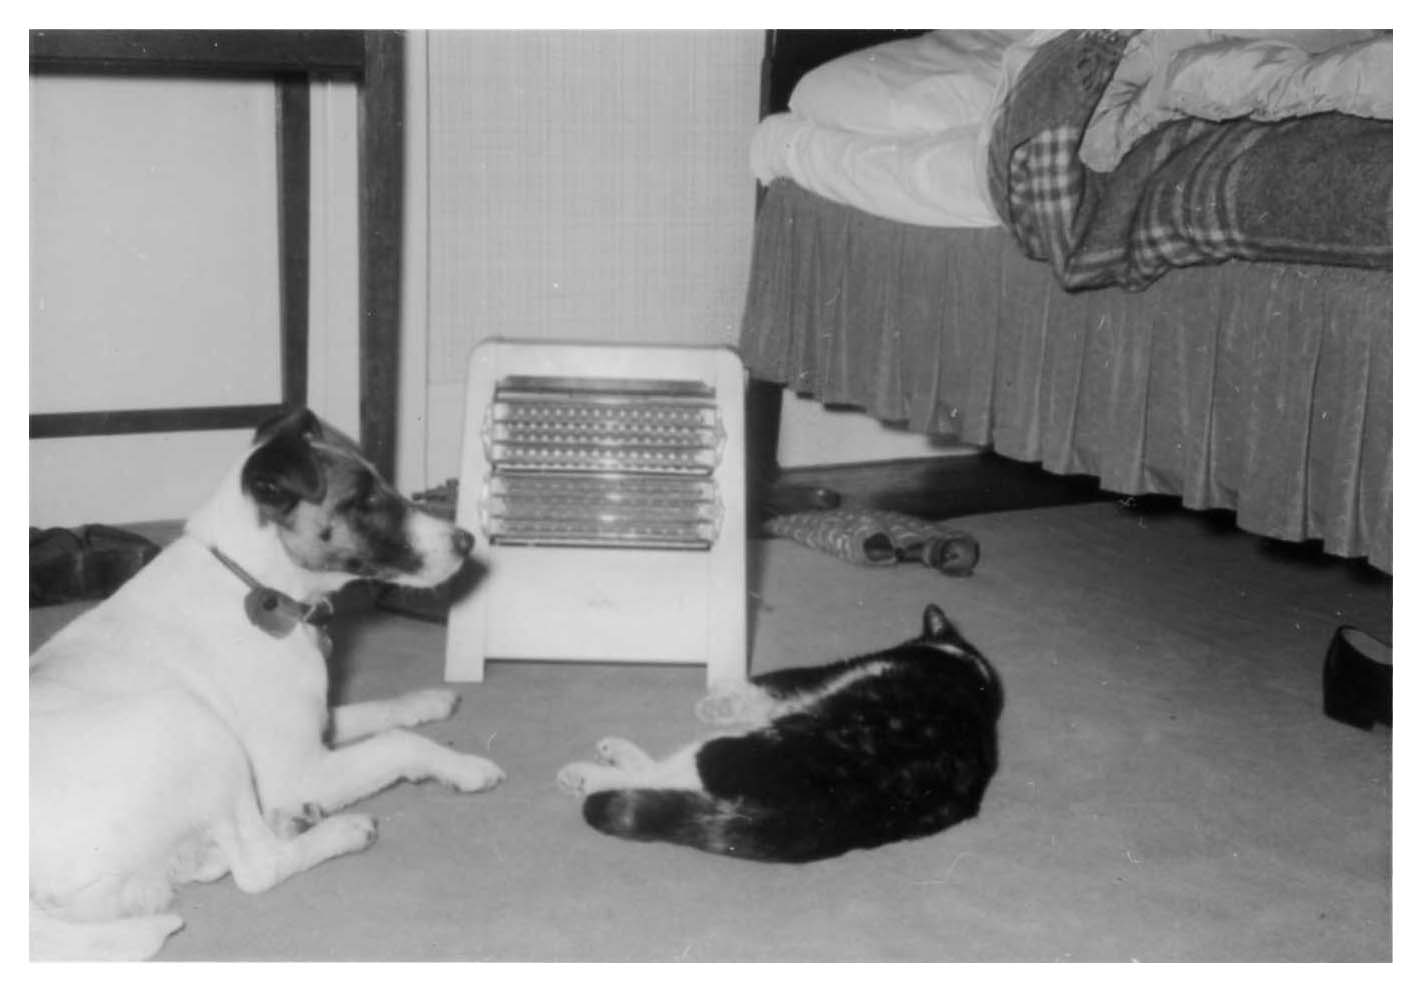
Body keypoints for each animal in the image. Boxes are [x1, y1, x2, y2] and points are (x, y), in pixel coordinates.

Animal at [30, 407, 504, 960]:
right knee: (257, 868)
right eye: (363, 500)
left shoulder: (315, 726)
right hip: (194, 726)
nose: (468, 541)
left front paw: (429, 700)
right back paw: (340, 830)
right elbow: (399, 743)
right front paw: (464, 767)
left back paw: (287, 823)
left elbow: (376, 711)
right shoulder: (299, 770)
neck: (257, 584)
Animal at [556, 604, 1003, 863]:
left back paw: (594, 770)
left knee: (667, 775)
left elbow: (771, 685)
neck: (966, 668)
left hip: (744, 749)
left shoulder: (832, 673)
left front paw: (716, 703)